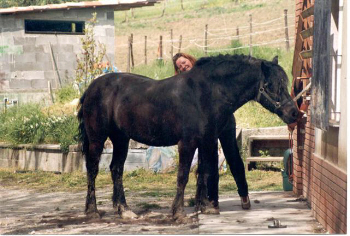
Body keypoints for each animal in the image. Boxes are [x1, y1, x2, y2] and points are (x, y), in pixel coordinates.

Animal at [77, 54, 298, 220]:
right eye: (270, 85)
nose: (294, 113)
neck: (205, 94)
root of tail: (92, 87)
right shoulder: (188, 143)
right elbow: (183, 175)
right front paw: (178, 212)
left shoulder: (207, 141)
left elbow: (205, 172)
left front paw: (206, 207)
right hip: (97, 139)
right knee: (93, 170)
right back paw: (92, 211)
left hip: (121, 140)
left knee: (116, 170)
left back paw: (124, 210)